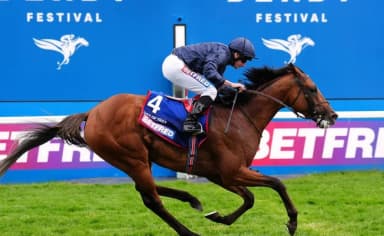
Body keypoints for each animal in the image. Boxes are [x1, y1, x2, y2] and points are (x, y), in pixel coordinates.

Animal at [0, 63, 336, 235]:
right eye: (312, 88)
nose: (332, 115)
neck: (241, 116)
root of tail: (92, 113)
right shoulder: (231, 171)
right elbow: (277, 183)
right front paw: (292, 222)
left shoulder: (221, 174)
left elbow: (250, 198)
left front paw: (218, 216)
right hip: (131, 156)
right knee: (151, 199)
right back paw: (189, 231)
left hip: (137, 159)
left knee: (147, 190)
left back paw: (192, 199)